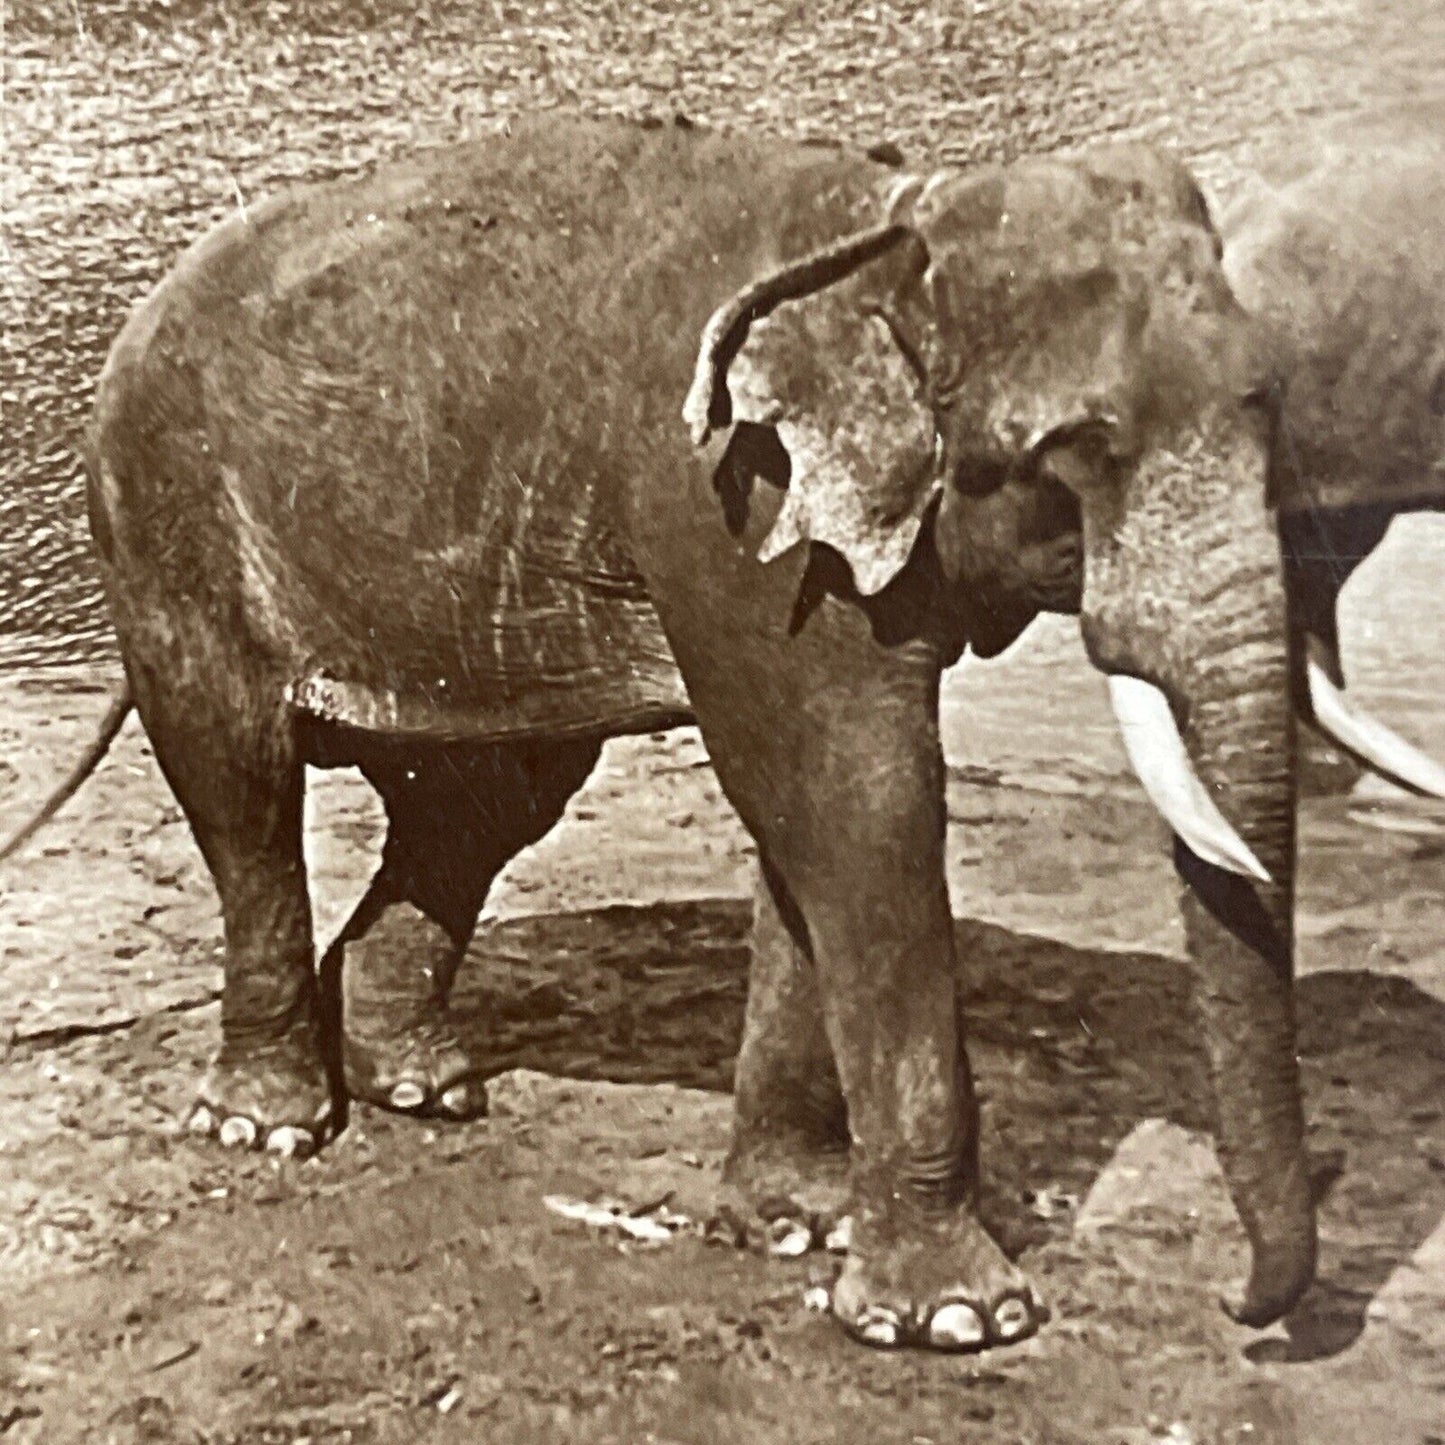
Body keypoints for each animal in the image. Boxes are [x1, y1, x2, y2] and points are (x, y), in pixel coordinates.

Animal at [2, 115, 1364, 1352]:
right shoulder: (724, 509)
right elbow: (856, 800)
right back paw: (272, 1122)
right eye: (1077, 451)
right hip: (166, 515)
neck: (891, 221)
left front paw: (799, 1222)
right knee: (241, 782)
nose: (1241, 1308)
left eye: (1266, 407)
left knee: (490, 799)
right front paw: (956, 1316)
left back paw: (421, 1083)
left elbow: (805, 822)